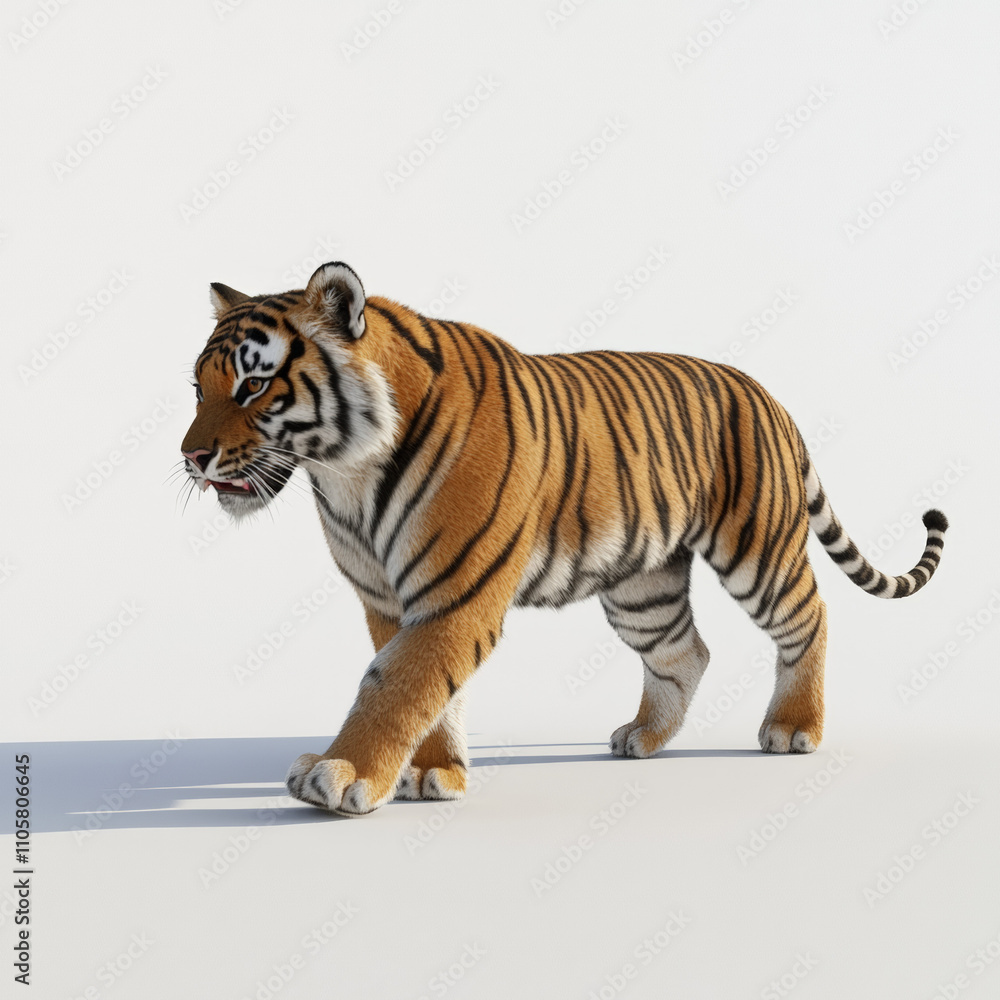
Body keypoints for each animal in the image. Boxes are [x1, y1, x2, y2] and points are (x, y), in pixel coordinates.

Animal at [180, 261, 949, 817]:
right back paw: (643, 738)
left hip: (757, 549)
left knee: (808, 617)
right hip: (642, 584)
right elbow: (427, 690)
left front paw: (341, 775)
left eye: (253, 385)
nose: (191, 457)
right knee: (686, 651)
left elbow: (395, 683)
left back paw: (794, 729)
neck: (347, 474)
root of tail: (766, 393)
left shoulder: (455, 594)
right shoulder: (388, 599)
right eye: (198, 388)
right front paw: (435, 773)